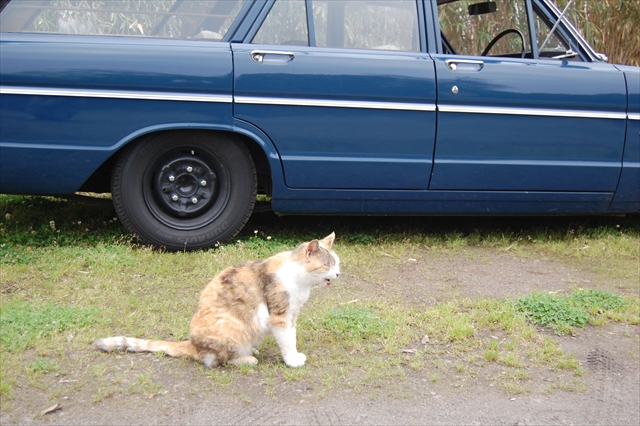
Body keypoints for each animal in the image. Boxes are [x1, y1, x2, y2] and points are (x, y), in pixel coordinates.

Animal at [93, 233, 340, 368]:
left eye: (337, 263)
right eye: (327, 264)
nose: (338, 274)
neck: (301, 281)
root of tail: (192, 344)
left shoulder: (292, 314)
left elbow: (292, 337)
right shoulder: (280, 317)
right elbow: (288, 341)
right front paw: (292, 360)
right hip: (231, 328)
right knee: (215, 360)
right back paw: (246, 359)